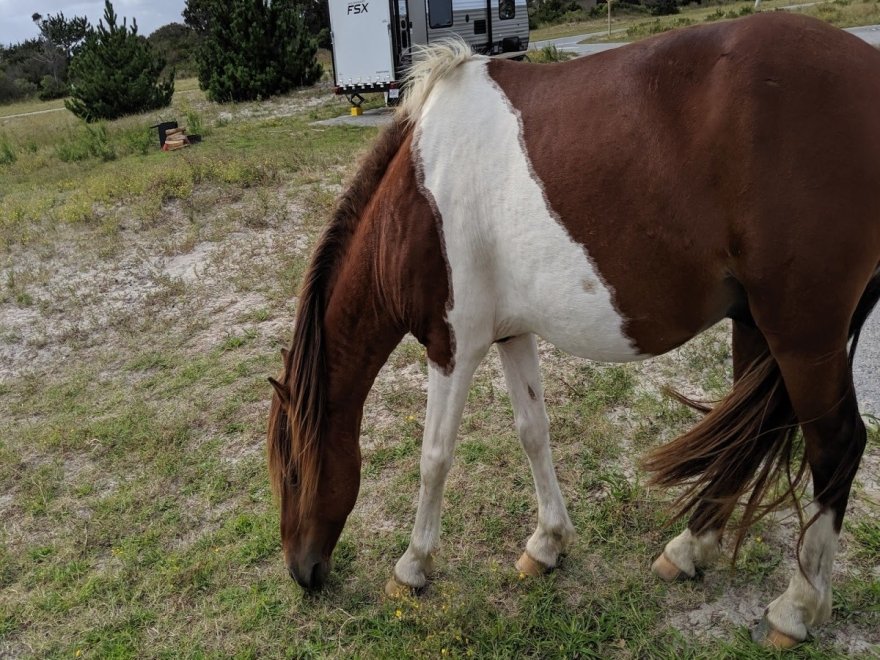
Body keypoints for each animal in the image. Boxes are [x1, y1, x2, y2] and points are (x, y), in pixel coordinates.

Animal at [266, 12, 880, 648]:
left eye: (292, 473)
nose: (302, 572)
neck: (418, 199)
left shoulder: (451, 346)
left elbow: (434, 456)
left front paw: (412, 566)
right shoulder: (511, 335)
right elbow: (533, 433)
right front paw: (547, 544)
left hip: (803, 335)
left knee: (836, 446)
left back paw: (796, 608)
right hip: (756, 327)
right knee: (750, 440)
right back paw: (688, 550)